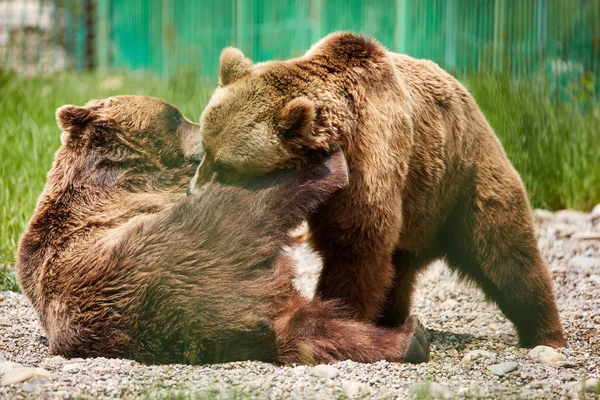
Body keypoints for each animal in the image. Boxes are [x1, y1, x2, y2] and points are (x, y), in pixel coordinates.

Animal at [17, 95, 432, 364]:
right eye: (175, 115)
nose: (207, 137)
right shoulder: (136, 199)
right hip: (167, 253)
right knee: (247, 208)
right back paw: (327, 165)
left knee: (303, 331)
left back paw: (410, 338)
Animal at [191, 32, 568, 348]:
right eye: (205, 150)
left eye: (227, 166)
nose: (194, 194)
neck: (338, 136)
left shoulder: (371, 155)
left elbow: (356, 244)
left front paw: (342, 314)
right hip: (418, 210)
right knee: (399, 270)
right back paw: (393, 317)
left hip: (464, 182)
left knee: (505, 252)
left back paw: (545, 335)